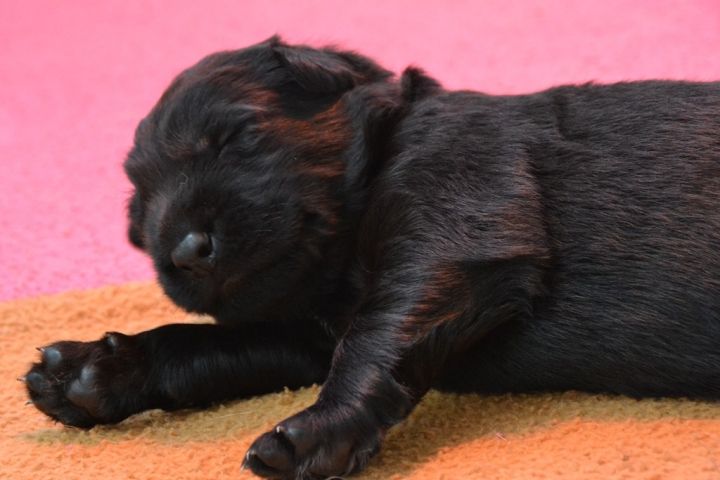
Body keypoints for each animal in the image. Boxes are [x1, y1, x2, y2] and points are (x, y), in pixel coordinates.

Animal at [24, 36, 720, 479]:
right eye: (137, 210)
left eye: (238, 135)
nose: (186, 251)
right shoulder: (298, 331)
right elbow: (206, 344)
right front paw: (95, 370)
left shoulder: (459, 204)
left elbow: (375, 334)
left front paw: (317, 431)